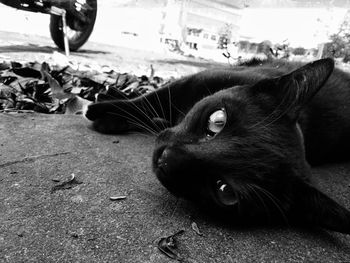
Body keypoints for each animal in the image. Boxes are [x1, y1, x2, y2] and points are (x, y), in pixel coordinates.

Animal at [85, 58, 350, 235]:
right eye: (217, 121)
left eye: (225, 191)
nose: (168, 157)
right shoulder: (198, 79)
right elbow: (150, 98)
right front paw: (105, 110)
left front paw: (110, 118)